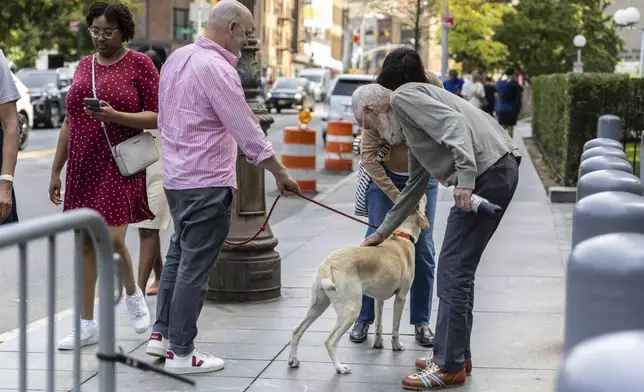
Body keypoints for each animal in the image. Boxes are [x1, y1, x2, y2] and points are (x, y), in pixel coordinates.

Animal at [286, 196, 428, 374]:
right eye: (420, 204)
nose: (425, 196)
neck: (403, 235)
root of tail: (327, 263)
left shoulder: (378, 299)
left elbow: (379, 324)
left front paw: (378, 344)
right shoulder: (401, 297)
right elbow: (395, 327)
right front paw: (396, 346)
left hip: (318, 304)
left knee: (297, 330)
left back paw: (293, 360)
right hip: (351, 309)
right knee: (330, 341)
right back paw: (339, 367)